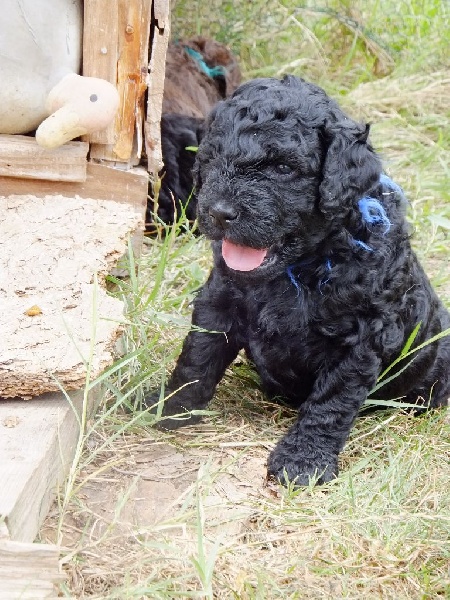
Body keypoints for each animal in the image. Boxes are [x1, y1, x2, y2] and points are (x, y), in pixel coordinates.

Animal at [144, 75, 450, 486]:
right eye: (211, 157)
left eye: (283, 168)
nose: (219, 212)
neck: (298, 268)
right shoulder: (218, 302)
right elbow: (196, 360)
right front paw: (169, 406)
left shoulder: (360, 336)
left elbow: (330, 402)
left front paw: (303, 461)